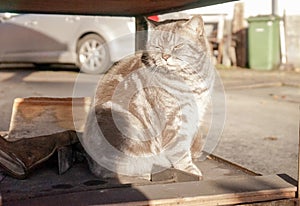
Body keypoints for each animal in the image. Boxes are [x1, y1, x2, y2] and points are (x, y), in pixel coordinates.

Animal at [81, 15, 214, 179]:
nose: (165, 56)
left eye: (177, 46)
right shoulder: (174, 120)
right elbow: (180, 150)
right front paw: (188, 169)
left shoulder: (196, 115)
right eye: (158, 47)